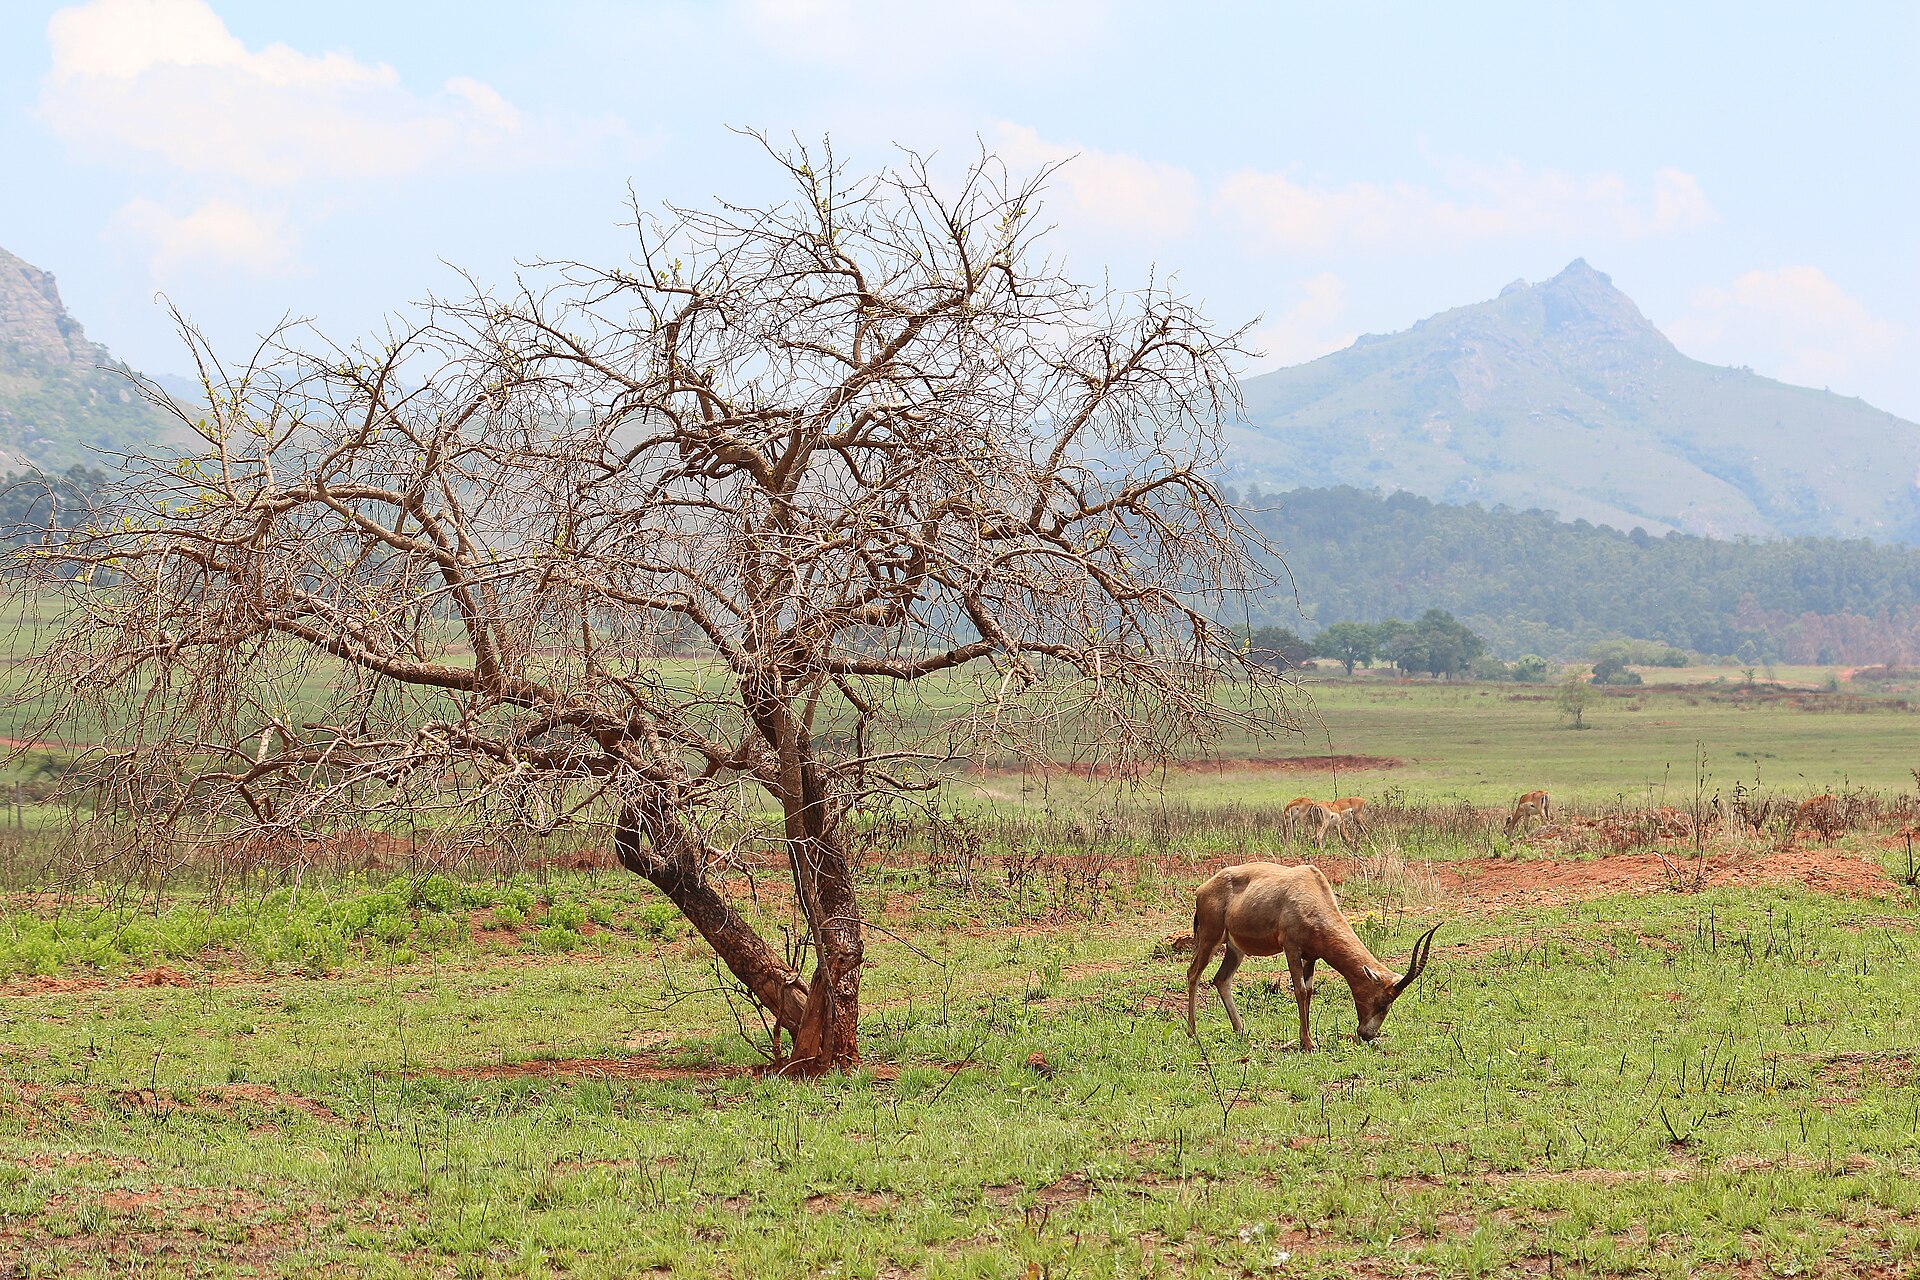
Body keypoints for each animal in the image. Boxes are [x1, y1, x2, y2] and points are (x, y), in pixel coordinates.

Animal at [1185, 862, 1440, 1050]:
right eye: (1382, 1001)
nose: (1366, 1034)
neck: (1311, 889)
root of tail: (1203, 889)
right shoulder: (1291, 949)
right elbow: (1299, 990)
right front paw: (1308, 1043)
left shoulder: (1311, 956)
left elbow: (1308, 991)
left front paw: (1306, 1039)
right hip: (1210, 938)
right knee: (1193, 973)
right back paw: (1192, 1032)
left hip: (1235, 949)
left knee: (1222, 979)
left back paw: (1241, 1031)